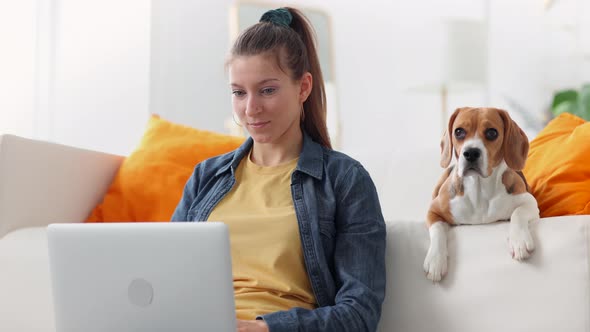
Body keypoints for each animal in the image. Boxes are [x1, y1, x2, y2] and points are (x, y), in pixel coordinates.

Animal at [426, 107, 540, 282]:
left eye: (492, 133)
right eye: (459, 132)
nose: (471, 153)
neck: (479, 190)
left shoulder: (529, 201)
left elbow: (518, 213)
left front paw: (519, 240)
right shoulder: (434, 210)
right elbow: (437, 229)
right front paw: (435, 260)